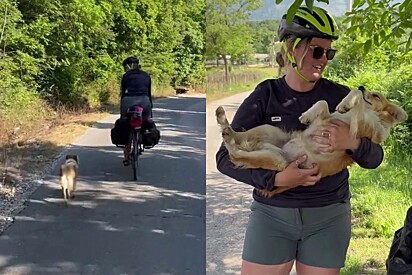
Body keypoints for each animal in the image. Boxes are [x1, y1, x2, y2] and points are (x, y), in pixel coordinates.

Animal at [217, 87, 408, 197]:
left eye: (376, 96)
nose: (362, 86)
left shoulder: (356, 129)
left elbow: (357, 99)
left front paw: (346, 103)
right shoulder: (327, 118)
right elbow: (323, 103)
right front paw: (308, 115)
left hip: (277, 160)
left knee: (235, 154)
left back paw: (228, 135)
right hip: (268, 130)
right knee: (238, 138)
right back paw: (224, 122)